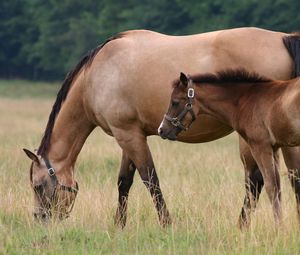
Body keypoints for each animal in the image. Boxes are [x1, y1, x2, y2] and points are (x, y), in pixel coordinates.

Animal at [159, 70, 300, 227]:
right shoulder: (274, 148)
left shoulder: (260, 146)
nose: (162, 130)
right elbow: (278, 187)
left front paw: (279, 228)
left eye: (175, 102)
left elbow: (271, 187)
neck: (247, 101)